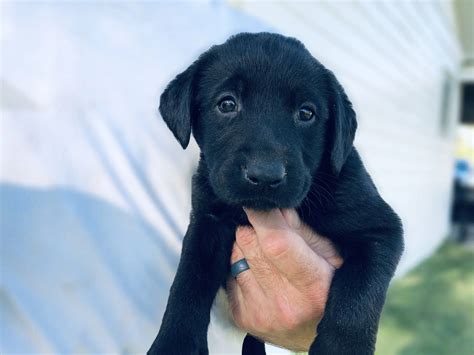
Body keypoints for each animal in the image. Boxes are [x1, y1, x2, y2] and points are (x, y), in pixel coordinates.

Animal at [148, 33, 404, 355]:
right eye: (227, 103)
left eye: (306, 113)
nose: (265, 175)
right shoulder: (206, 221)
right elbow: (187, 282)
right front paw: (174, 343)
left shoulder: (380, 229)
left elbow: (358, 294)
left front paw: (342, 349)